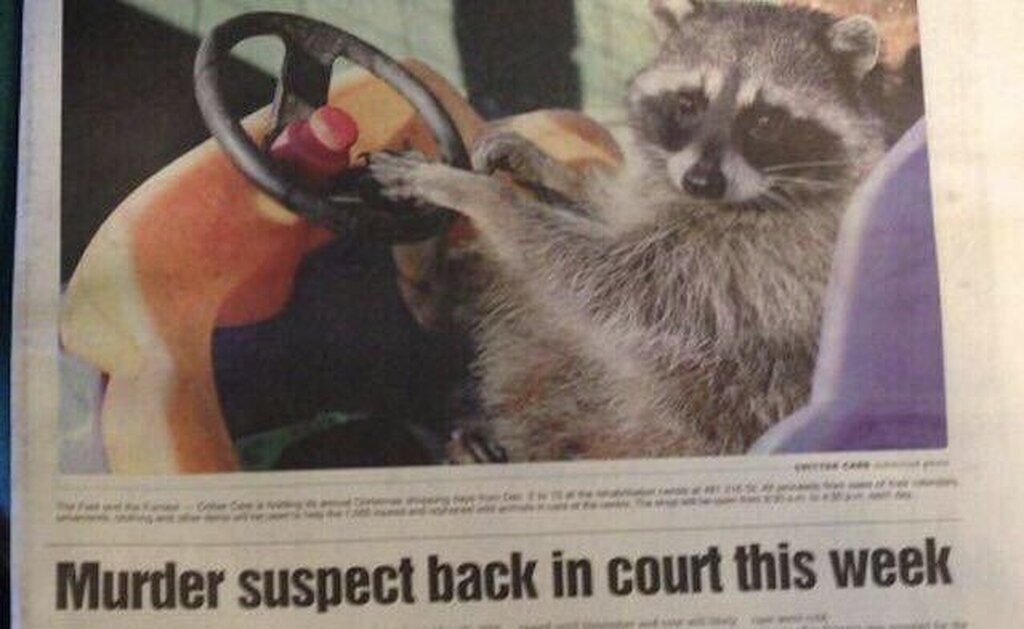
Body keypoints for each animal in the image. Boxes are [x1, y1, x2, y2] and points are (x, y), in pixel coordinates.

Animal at [371, 0, 890, 461]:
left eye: (763, 120)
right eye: (688, 103)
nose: (702, 181)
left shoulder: (755, 265)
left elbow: (601, 281)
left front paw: (477, 193)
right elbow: (612, 219)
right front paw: (545, 167)